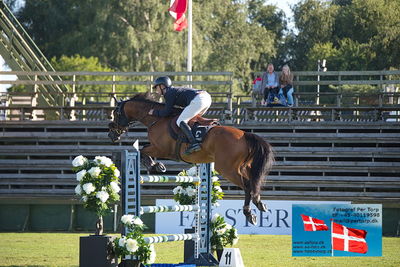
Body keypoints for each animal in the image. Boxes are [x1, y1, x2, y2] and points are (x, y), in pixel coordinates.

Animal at [108, 93, 274, 225]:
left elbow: (143, 151)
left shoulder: (161, 149)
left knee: (247, 185)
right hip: (243, 167)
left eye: (116, 113)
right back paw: (259, 204)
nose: (111, 135)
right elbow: (143, 150)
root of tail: (245, 135)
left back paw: (249, 213)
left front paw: (155, 166)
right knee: (253, 183)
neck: (155, 119)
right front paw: (157, 166)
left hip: (227, 169)